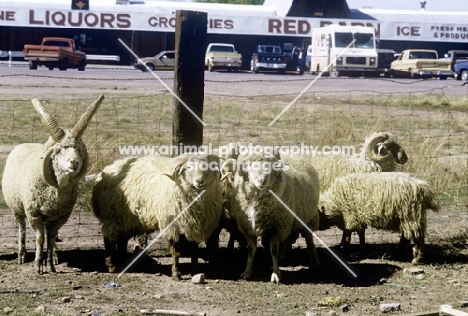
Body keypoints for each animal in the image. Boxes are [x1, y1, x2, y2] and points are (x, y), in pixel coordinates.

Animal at [1, 94, 104, 274]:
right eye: (58, 150)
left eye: (78, 150)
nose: (74, 162)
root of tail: (25, 143)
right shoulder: (34, 213)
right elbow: (40, 239)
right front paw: (38, 265)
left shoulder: (61, 216)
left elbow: (50, 238)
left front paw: (49, 265)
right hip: (18, 207)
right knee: (21, 228)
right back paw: (21, 256)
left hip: (49, 216)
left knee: (52, 236)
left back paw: (55, 257)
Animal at [92, 152, 224, 278]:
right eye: (188, 167)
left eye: (207, 167)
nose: (199, 181)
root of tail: (109, 167)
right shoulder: (171, 223)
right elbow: (176, 251)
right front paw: (176, 273)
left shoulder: (192, 224)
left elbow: (194, 249)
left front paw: (195, 271)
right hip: (112, 216)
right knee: (109, 239)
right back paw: (111, 266)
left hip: (127, 219)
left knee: (122, 240)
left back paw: (122, 260)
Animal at [229, 152, 322, 282]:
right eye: (250, 165)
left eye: (270, 167)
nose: (261, 181)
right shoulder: (247, 227)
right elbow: (251, 250)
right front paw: (248, 271)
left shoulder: (276, 228)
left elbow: (273, 250)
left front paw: (276, 274)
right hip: (288, 222)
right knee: (284, 241)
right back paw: (281, 258)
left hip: (309, 218)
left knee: (309, 239)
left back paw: (314, 261)